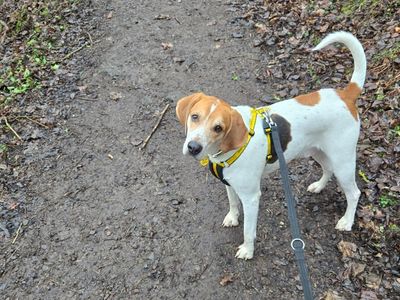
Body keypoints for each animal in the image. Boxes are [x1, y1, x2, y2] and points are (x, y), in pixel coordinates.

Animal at [175, 31, 366, 258]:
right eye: (194, 117)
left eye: (218, 128)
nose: (193, 147)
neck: (226, 150)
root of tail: (346, 95)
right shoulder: (229, 184)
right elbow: (233, 203)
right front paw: (232, 218)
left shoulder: (251, 197)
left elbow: (248, 230)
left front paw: (247, 250)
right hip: (318, 151)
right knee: (327, 169)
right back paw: (318, 186)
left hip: (343, 161)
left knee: (354, 193)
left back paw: (347, 221)